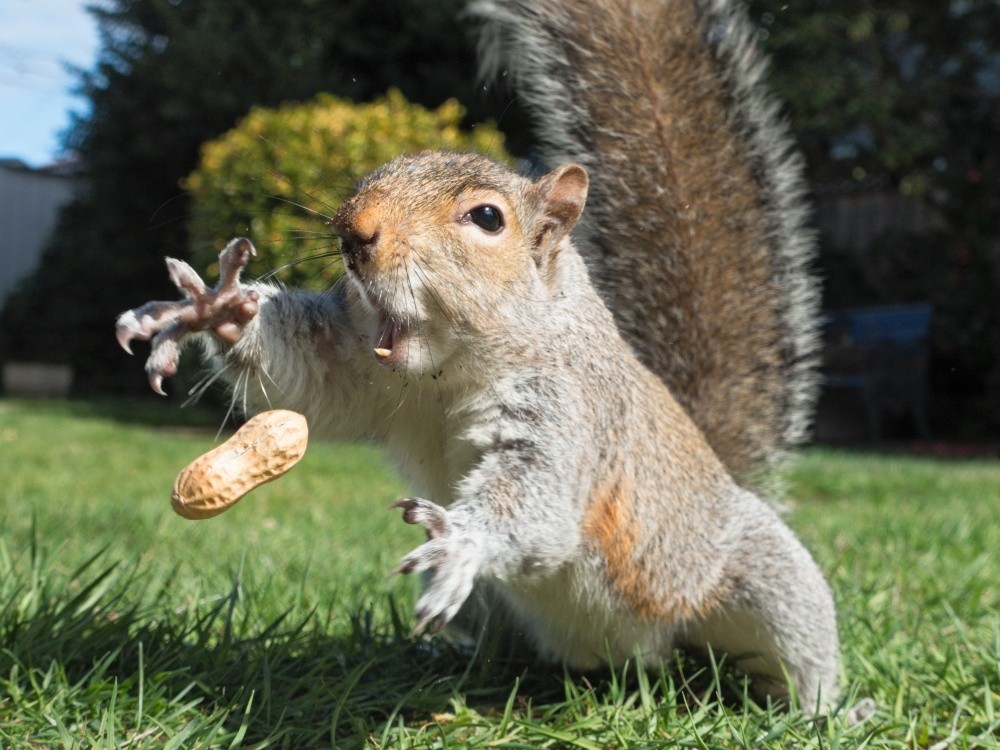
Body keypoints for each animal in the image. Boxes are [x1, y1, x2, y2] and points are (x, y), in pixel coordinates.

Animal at [115, 0, 836, 712]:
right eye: (371, 176)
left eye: (487, 218)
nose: (353, 231)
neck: (446, 375)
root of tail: (632, 663)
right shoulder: (357, 367)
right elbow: (305, 379)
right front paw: (216, 310)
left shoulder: (572, 413)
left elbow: (539, 498)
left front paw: (464, 539)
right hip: (495, 608)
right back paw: (452, 661)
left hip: (761, 584)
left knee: (799, 650)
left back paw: (820, 708)